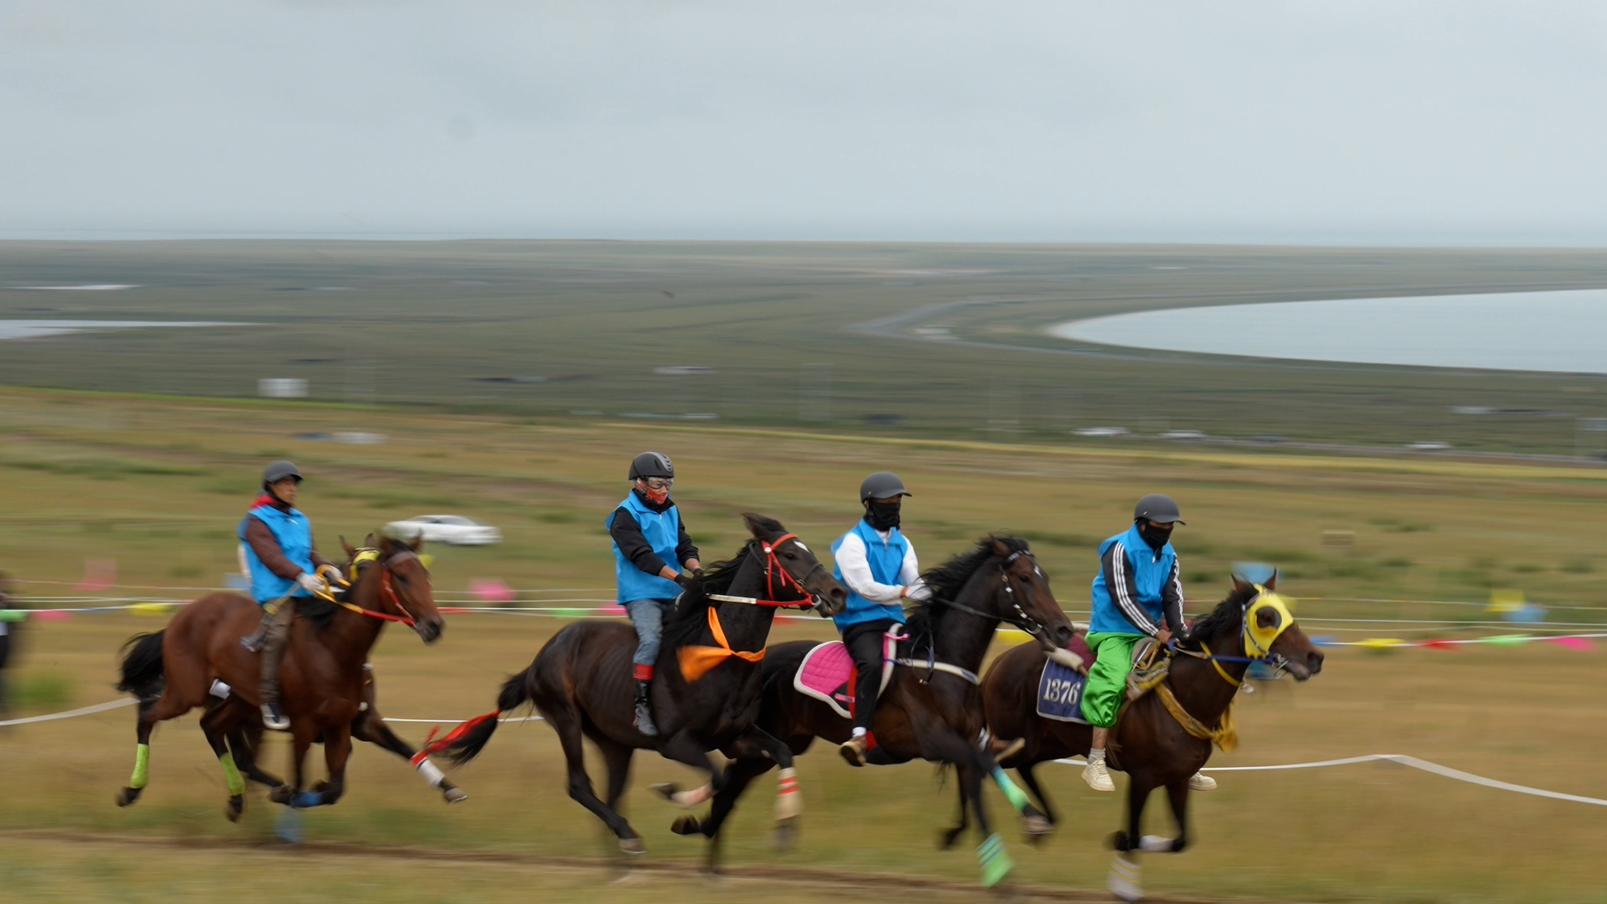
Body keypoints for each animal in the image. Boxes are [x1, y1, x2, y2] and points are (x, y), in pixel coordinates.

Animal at [114, 533, 444, 820]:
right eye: (401, 577)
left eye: (426, 575)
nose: (434, 625)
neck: (333, 646)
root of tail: (181, 617)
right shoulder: (305, 726)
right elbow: (302, 780)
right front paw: (291, 795)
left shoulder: (347, 723)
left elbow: (342, 782)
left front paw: (447, 787)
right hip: (188, 692)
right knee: (148, 715)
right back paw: (132, 790)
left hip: (239, 702)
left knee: (216, 732)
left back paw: (238, 799)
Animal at [427, 513, 848, 860]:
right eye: (791, 555)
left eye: (808, 550)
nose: (837, 592)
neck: (720, 655)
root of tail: (544, 653)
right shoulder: (676, 743)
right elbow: (715, 777)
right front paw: (676, 799)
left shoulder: (736, 736)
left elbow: (780, 754)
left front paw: (785, 826)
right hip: (566, 719)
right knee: (579, 786)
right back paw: (628, 835)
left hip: (614, 741)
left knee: (611, 793)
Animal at [672, 536, 1081, 888]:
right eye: (1025, 578)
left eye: (1044, 576)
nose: (1063, 629)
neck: (938, 663)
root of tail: (755, 659)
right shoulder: (936, 742)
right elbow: (984, 770)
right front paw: (1031, 822)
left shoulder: (969, 742)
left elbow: (983, 780)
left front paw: (995, 862)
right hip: (762, 741)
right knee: (728, 788)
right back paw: (704, 845)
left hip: (781, 743)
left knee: (731, 787)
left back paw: (708, 856)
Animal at [978, 575, 1325, 901]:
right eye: (1265, 617)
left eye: (1287, 611)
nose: (1315, 656)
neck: (1185, 690)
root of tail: (997, 663)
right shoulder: (1142, 778)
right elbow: (1132, 835)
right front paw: (1122, 873)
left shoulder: (1178, 779)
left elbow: (1181, 840)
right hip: (1013, 737)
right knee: (982, 760)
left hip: (1045, 742)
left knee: (1023, 767)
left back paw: (1040, 821)